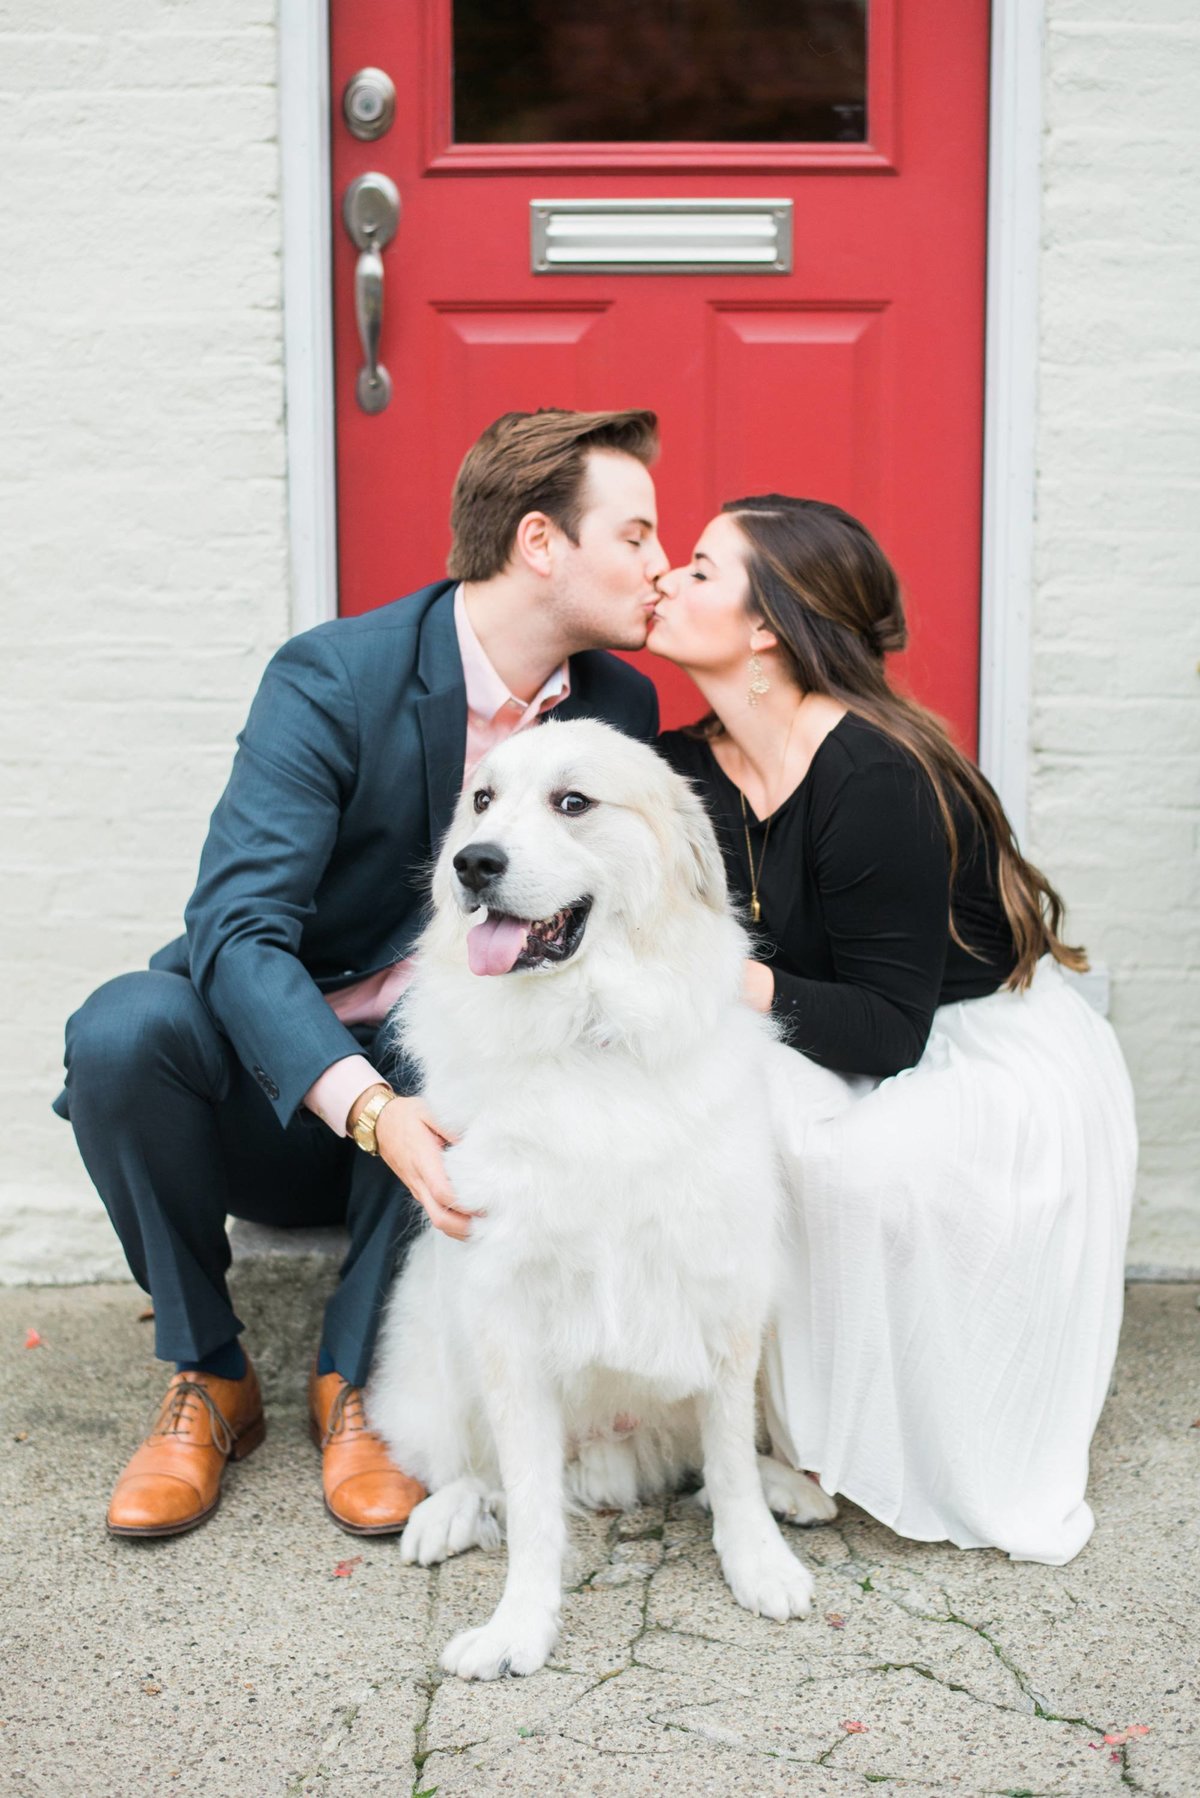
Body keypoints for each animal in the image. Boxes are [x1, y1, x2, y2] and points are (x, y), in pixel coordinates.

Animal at [368, 719, 834, 1682]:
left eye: (573, 802)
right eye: (481, 800)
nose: (472, 863)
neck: (587, 1034)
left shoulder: (721, 1291)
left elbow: (729, 1459)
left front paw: (758, 1561)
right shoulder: (506, 1313)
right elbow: (531, 1510)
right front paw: (519, 1627)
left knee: (712, 1460)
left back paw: (788, 1491)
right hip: (437, 1337)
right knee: (469, 1468)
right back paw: (443, 1514)